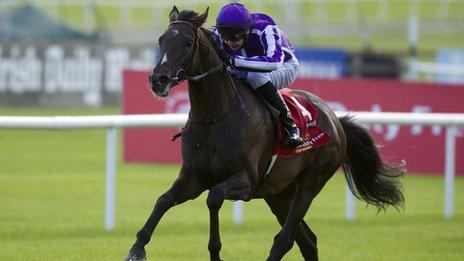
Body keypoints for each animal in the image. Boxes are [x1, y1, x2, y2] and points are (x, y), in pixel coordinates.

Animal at [125, 6, 404, 260]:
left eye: (187, 42)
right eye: (161, 40)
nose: (158, 80)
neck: (214, 117)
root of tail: (335, 119)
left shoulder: (246, 180)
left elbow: (213, 198)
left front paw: (215, 252)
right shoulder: (194, 178)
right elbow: (163, 200)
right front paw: (137, 248)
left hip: (311, 182)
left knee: (285, 239)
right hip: (278, 193)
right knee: (308, 241)